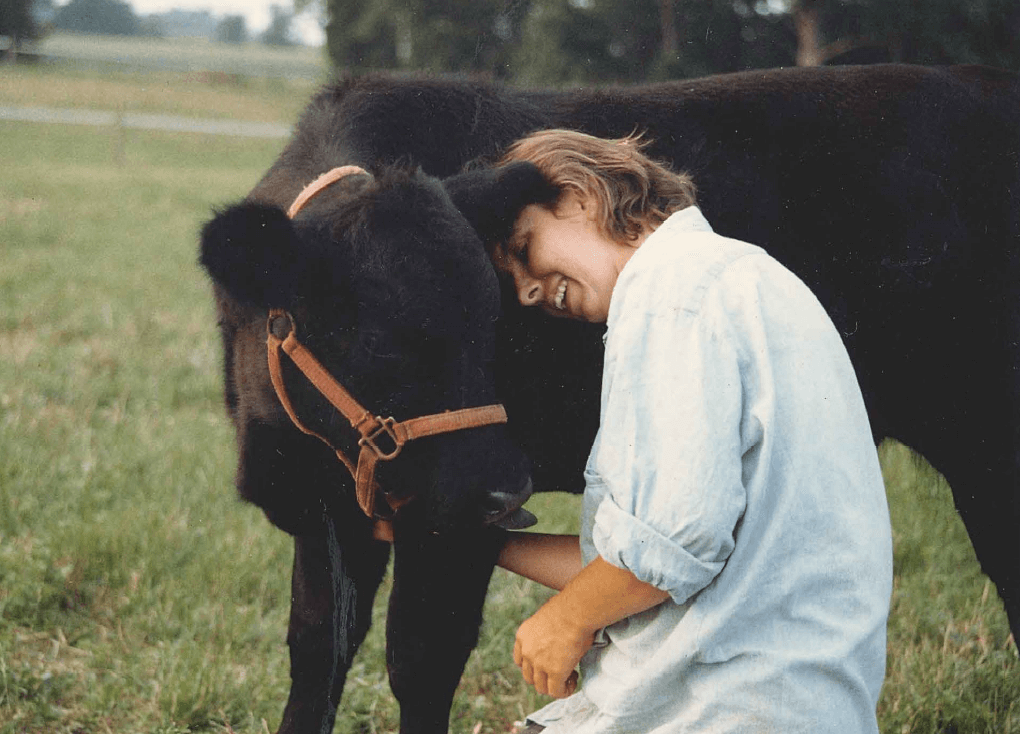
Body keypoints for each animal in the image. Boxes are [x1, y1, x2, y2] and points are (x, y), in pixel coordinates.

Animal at [198, 63, 1020, 734]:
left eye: (490, 328)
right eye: (381, 344)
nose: (508, 488)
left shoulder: (450, 524)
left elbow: (421, 661)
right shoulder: (331, 507)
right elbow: (318, 653)